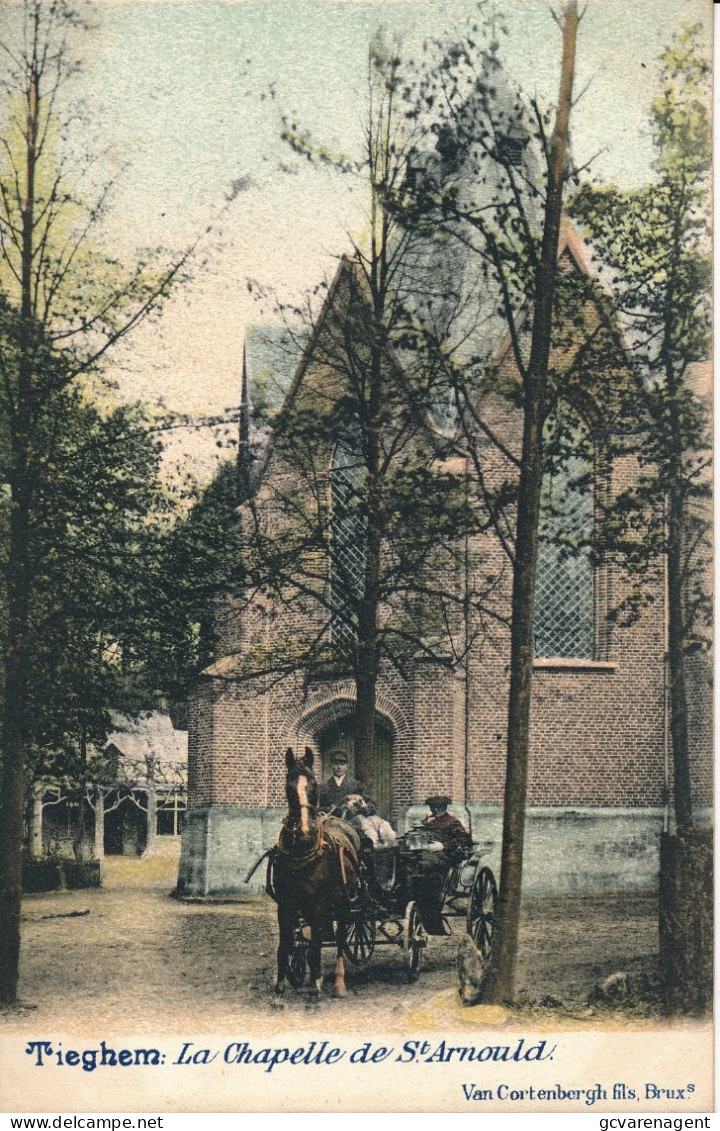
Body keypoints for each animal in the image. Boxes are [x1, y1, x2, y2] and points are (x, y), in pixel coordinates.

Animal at [272, 750, 359, 999]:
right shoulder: (285, 903)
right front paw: (281, 986)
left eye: (313, 787)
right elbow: (287, 943)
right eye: (289, 787)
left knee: (339, 940)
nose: (303, 831)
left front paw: (315, 985)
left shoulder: (319, 904)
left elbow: (316, 945)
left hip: (344, 906)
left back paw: (339, 984)